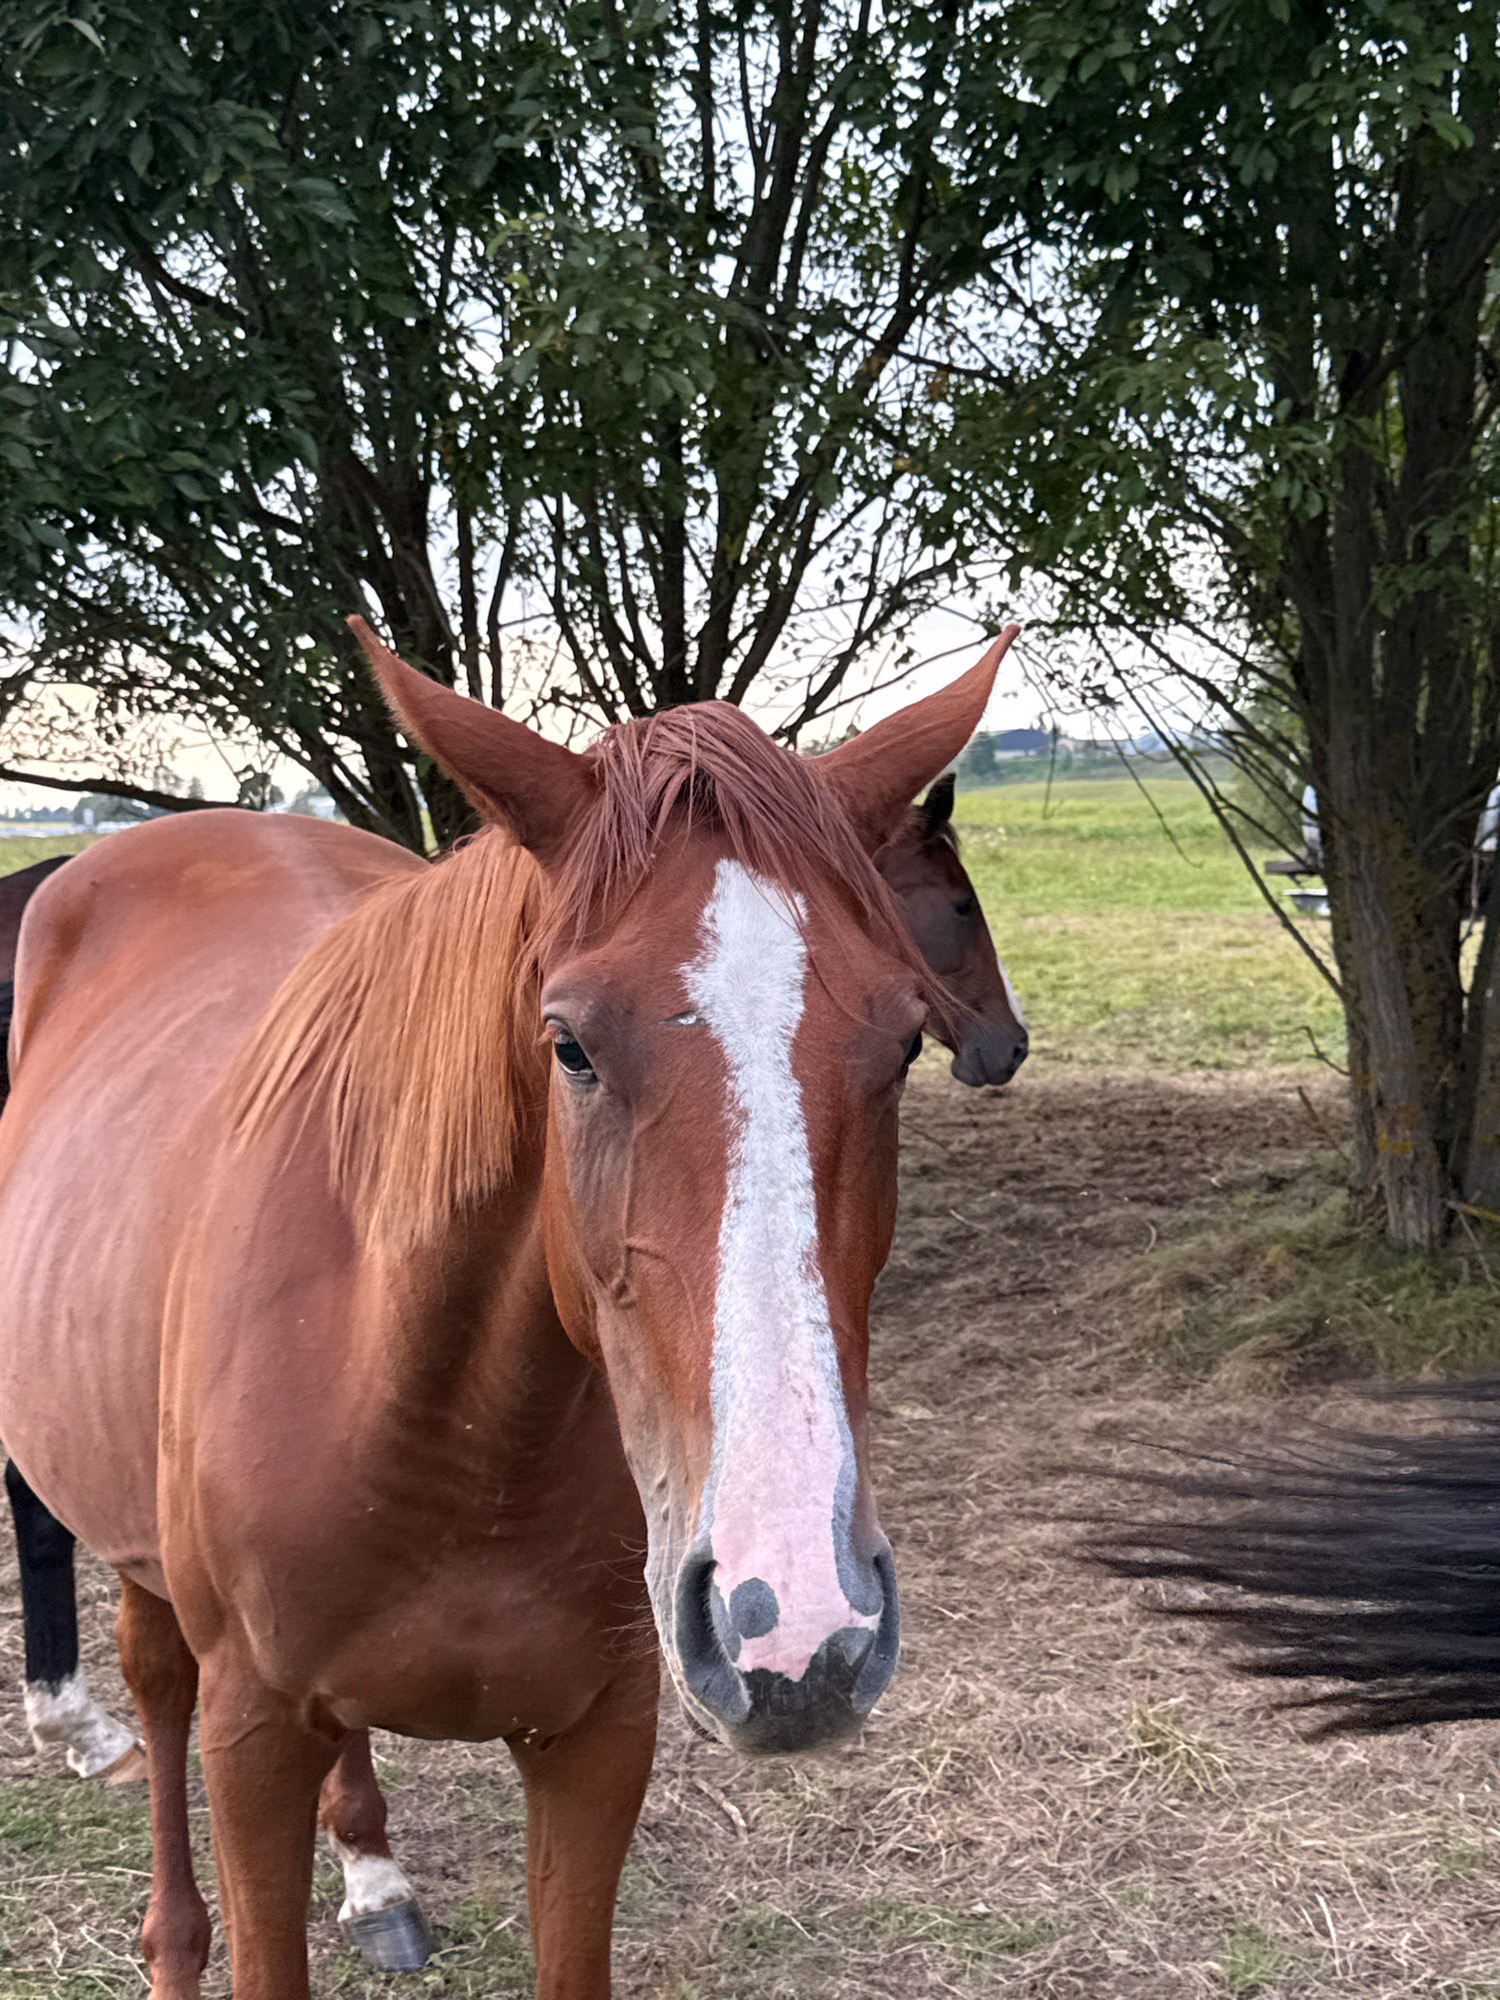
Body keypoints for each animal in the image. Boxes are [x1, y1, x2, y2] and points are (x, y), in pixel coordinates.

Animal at [0, 619, 1016, 2000]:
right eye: (569, 1043)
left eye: (902, 1040)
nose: (802, 1625)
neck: (447, 1421)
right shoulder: (250, 1733)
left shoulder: (597, 1738)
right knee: (155, 1687)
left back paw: (374, 1877)